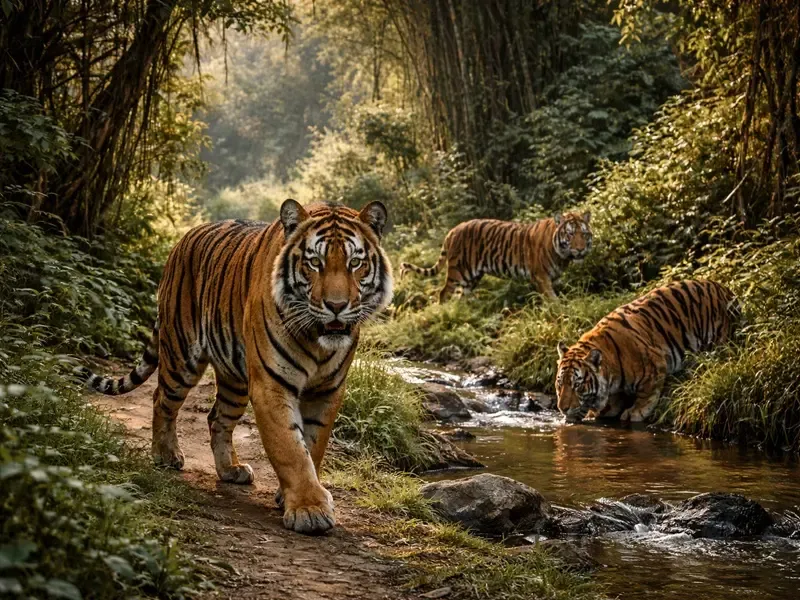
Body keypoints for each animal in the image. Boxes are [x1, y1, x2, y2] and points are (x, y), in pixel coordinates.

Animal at [76, 200, 393, 535]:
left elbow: (312, 446)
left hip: (234, 377)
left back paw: (230, 469)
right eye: (314, 263)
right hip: (181, 355)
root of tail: (183, 239)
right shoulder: (271, 385)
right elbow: (291, 448)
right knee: (161, 399)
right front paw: (309, 510)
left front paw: (295, 497)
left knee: (217, 417)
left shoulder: (328, 390)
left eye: (355, 263)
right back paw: (166, 454)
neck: (317, 339)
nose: (336, 306)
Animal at [399, 212, 592, 302]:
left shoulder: (554, 277)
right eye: (570, 234)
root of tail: (452, 230)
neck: (562, 256)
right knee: (444, 292)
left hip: (472, 277)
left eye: (583, 234)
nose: (580, 249)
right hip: (458, 271)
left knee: (462, 296)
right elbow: (552, 299)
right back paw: (445, 314)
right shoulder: (541, 277)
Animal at [555, 280, 739, 424]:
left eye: (577, 385)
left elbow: (646, 395)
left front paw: (635, 412)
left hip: (719, 340)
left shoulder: (655, 365)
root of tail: (725, 289)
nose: (562, 409)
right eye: (560, 384)